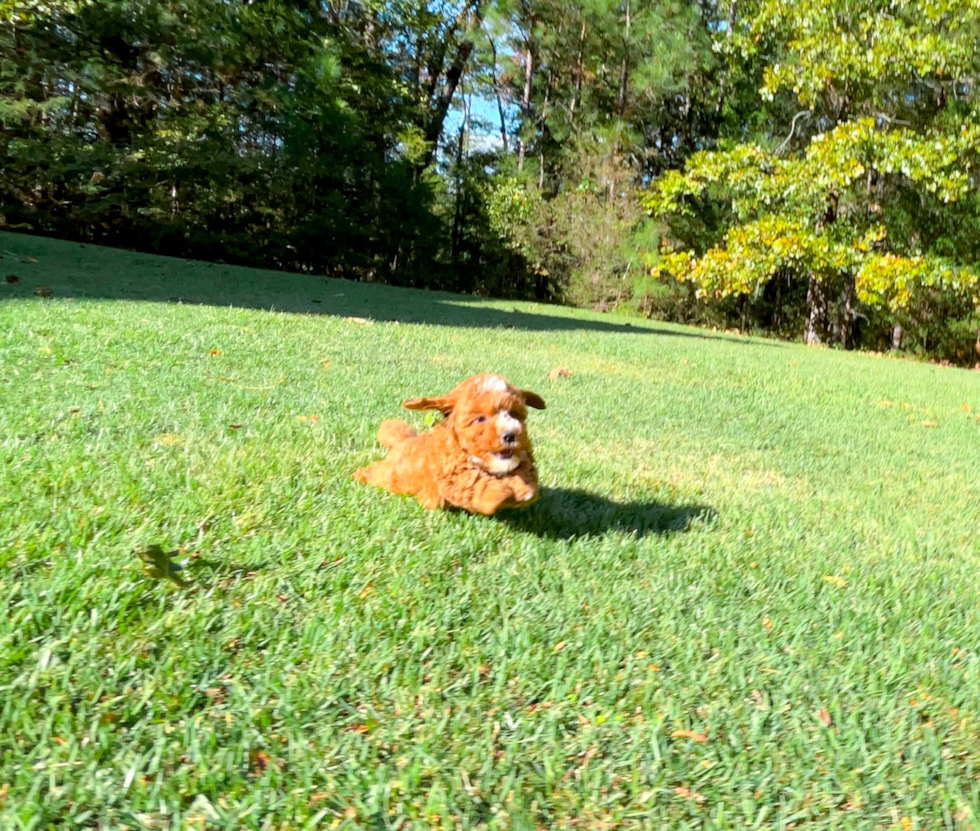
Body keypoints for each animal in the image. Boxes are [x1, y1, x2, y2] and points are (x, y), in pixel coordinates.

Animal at [352, 376, 548, 512]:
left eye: (513, 414)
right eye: (480, 419)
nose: (510, 434)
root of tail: (403, 440)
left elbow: (523, 474)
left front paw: (524, 490)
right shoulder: (453, 475)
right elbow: (476, 484)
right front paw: (501, 494)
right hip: (394, 475)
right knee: (378, 472)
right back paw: (359, 475)